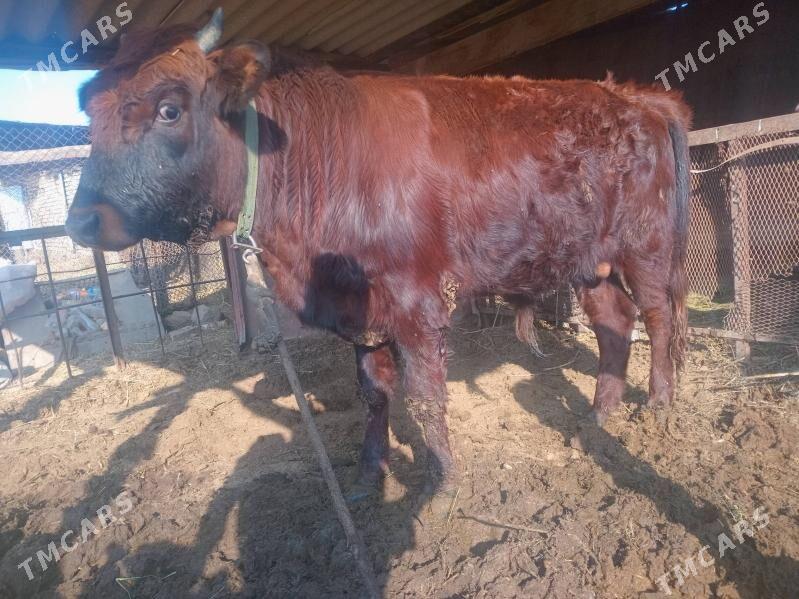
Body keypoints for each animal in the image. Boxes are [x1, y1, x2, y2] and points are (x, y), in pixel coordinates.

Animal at [65, 10, 691, 495]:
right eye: (90, 111)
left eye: (169, 109)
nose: (82, 221)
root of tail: (631, 96)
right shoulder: (358, 312)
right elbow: (373, 393)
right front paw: (370, 473)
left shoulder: (418, 304)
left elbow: (425, 396)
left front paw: (441, 481)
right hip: (590, 262)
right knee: (615, 321)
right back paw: (598, 416)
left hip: (646, 246)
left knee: (658, 316)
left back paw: (659, 407)